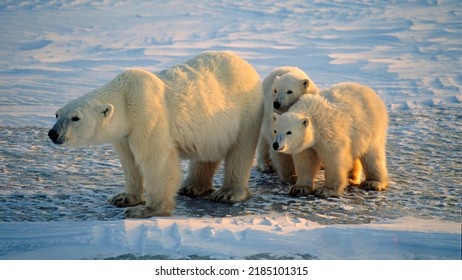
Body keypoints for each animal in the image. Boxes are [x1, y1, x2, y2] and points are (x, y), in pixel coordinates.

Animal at [49, 52, 264, 219]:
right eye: (57, 114)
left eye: (75, 118)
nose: (53, 133)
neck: (125, 96)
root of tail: (247, 65)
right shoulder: (124, 134)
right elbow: (129, 161)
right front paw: (123, 198)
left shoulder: (147, 115)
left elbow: (156, 160)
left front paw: (147, 210)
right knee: (207, 152)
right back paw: (191, 187)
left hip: (246, 111)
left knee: (240, 151)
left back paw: (227, 193)